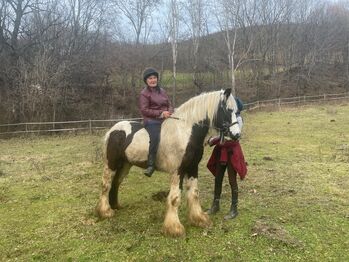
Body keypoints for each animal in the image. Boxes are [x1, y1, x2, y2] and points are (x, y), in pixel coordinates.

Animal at [96, 88, 241, 237]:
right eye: (228, 110)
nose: (237, 135)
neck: (185, 132)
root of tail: (112, 130)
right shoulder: (177, 171)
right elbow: (175, 198)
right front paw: (174, 228)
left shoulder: (193, 168)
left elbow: (194, 193)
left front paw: (199, 219)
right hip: (110, 164)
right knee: (106, 184)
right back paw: (105, 212)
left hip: (126, 164)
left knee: (116, 182)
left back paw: (115, 206)